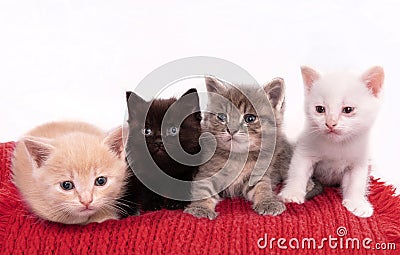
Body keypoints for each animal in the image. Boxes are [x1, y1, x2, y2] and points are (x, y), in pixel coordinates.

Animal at [184, 76, 322, 219]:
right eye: (222, 117)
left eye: (250, 118)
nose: (231, 130)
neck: (237, 157)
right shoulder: (207, 172)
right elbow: (203, 190)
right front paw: (200, 208)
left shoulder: (258, 174)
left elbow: (262, 187)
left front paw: (268, 202)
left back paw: (308, 184)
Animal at [278, 65, 384, 217]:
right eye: (320, 109)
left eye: (348, 109)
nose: (330, 123)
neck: (337, 144)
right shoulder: (304, 150)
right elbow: (297, 171)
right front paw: (292, 193)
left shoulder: (359, 161)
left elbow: (357, 182)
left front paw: (357, 203)